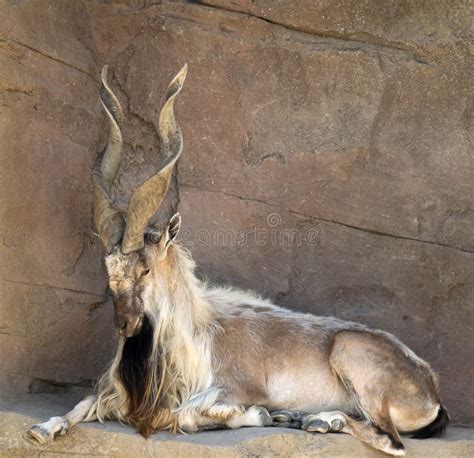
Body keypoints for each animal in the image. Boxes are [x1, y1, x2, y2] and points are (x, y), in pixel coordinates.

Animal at [25, 64, 448, 454]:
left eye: (145, 268)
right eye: (107, 271)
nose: (124, 325)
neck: (194, 332)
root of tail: (430, 388)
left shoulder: (230, 390)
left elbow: (187, 416)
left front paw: (264, 414)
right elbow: (85, 403)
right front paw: (42, 428)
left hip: (351, 353)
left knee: (392, 441)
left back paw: (315, 418)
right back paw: (311, 418)